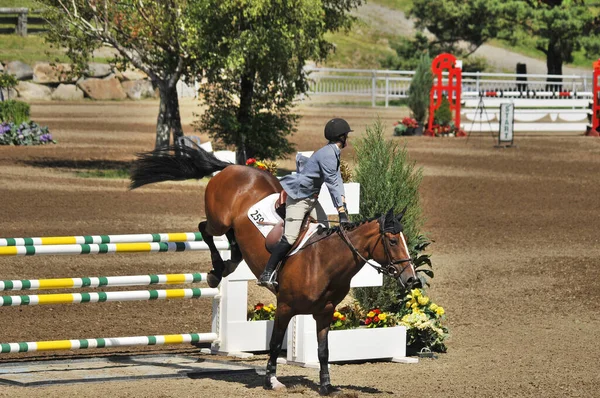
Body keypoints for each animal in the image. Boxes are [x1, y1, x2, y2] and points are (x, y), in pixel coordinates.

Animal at [130, 145, 422, 396]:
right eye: (393, 241)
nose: (413, 280)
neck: (324, 261)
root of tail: (231, 167)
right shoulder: (285, 307)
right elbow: (273, 343)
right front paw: (271, 380)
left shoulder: (324, 313)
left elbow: (324, 351)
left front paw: (327, 386)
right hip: (218, 220)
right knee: (205, 229)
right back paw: (216, 270)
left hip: (234, 228)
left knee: (234, 244)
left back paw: (225, 267)